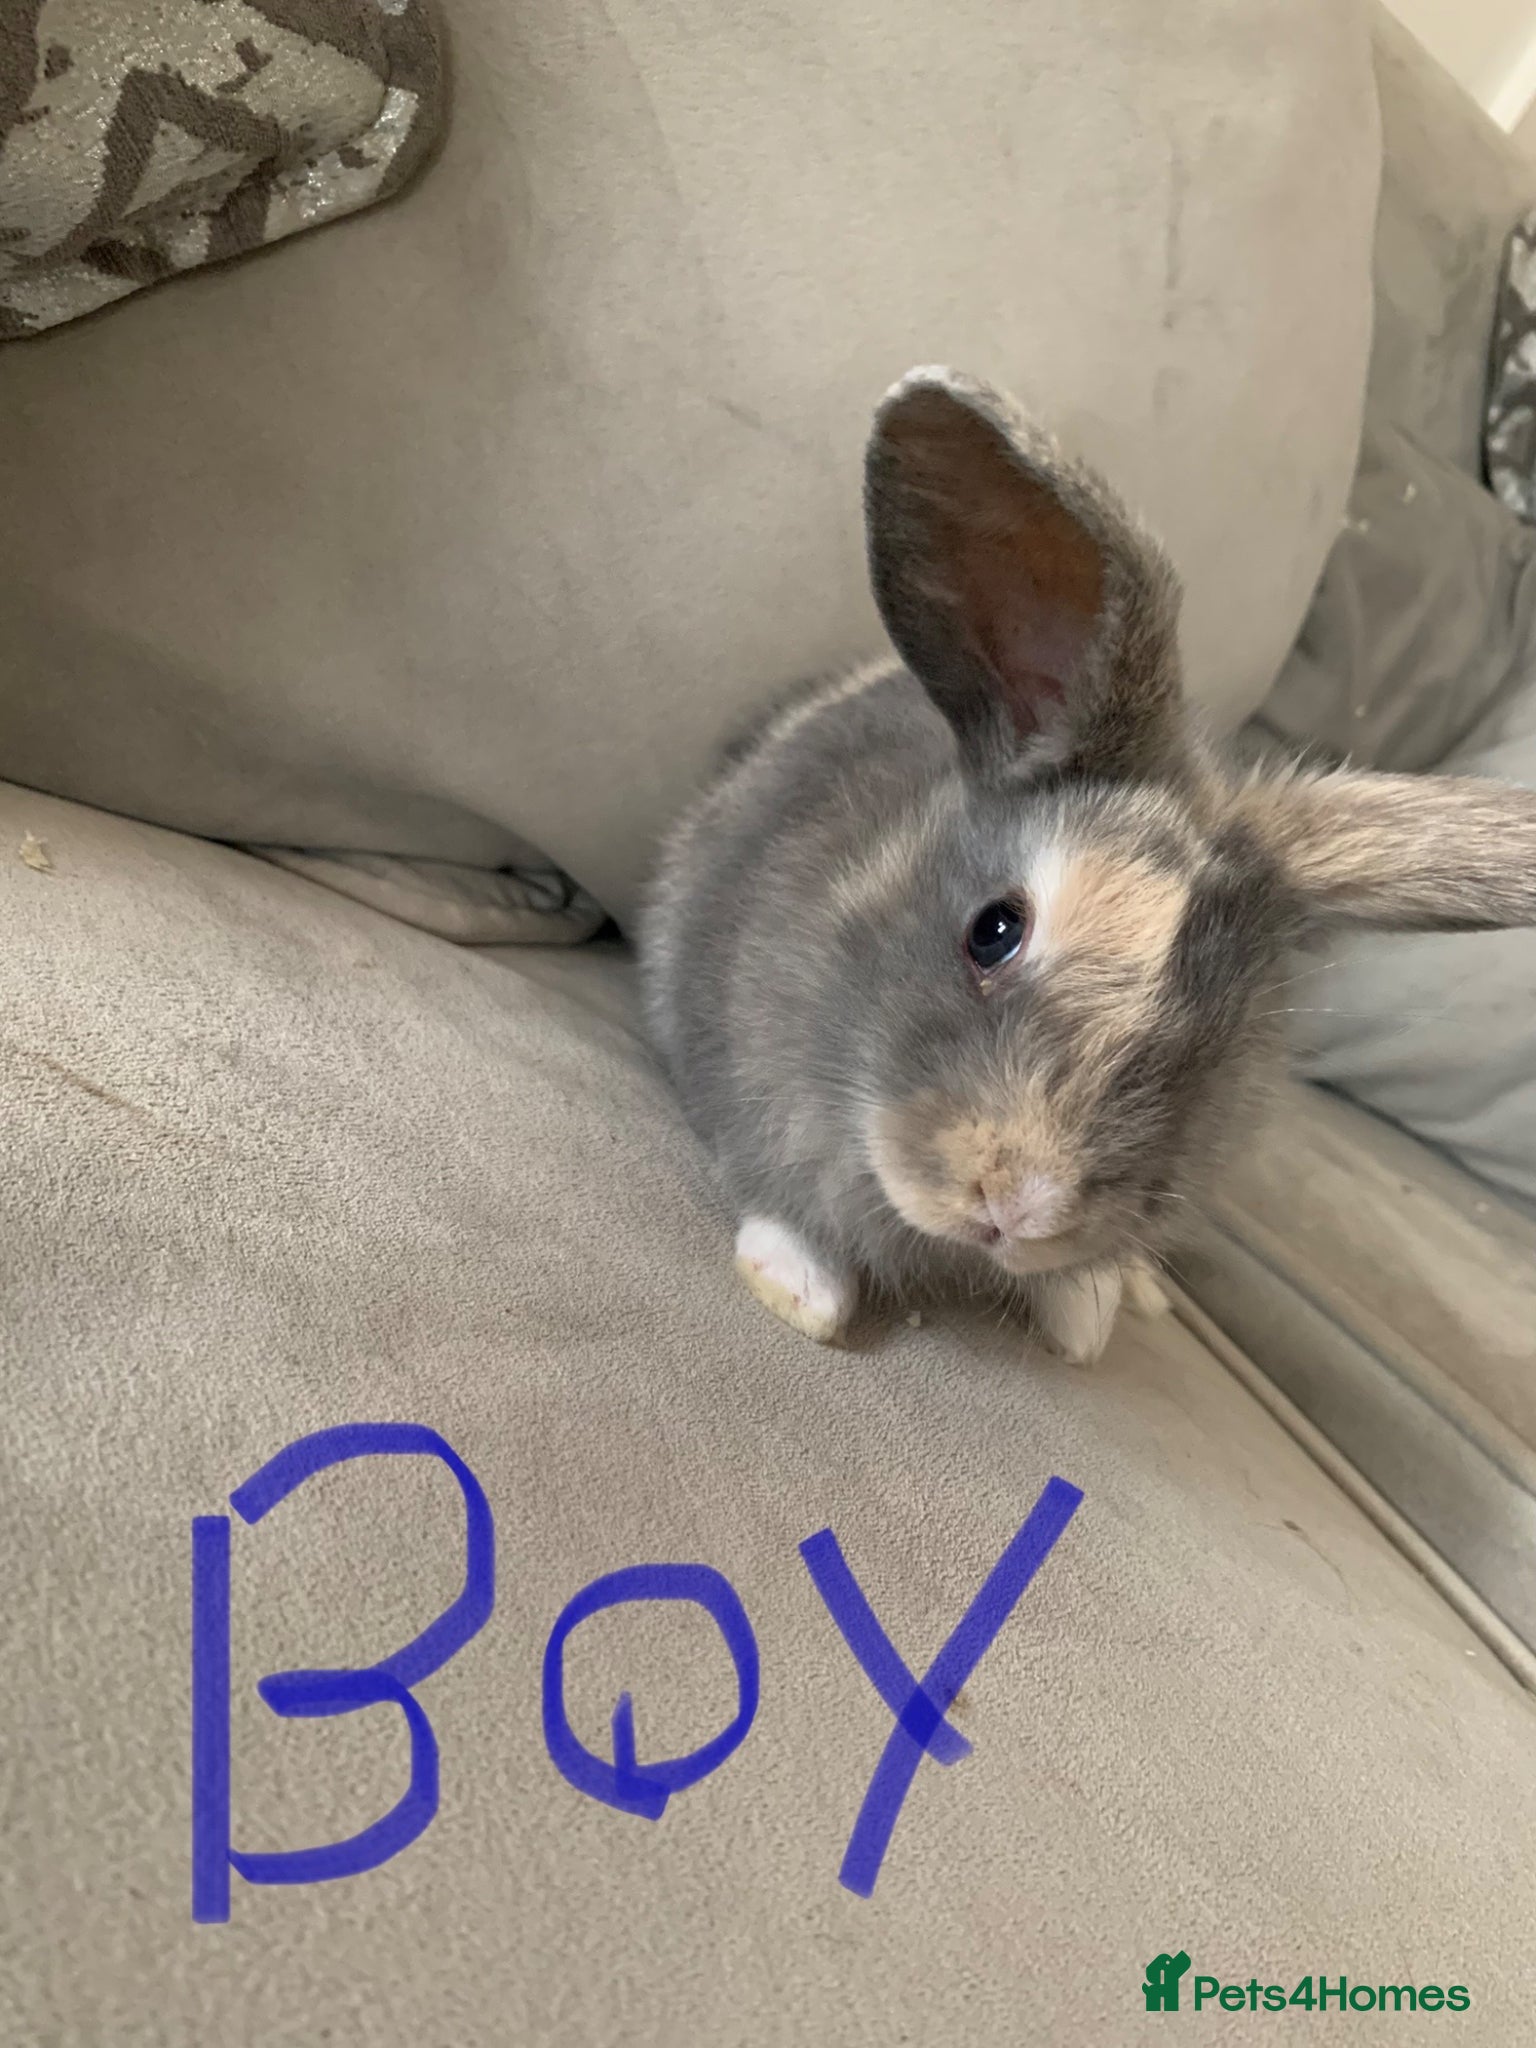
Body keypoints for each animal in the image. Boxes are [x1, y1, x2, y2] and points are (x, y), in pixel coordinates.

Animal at [640, 366, 1536, 1364]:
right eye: (992, 930)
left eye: (1222, 1039)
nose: (1016, 1206)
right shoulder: (739, 1065)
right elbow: (781, 1200)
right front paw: (802, 1296)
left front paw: (1086, 1317)